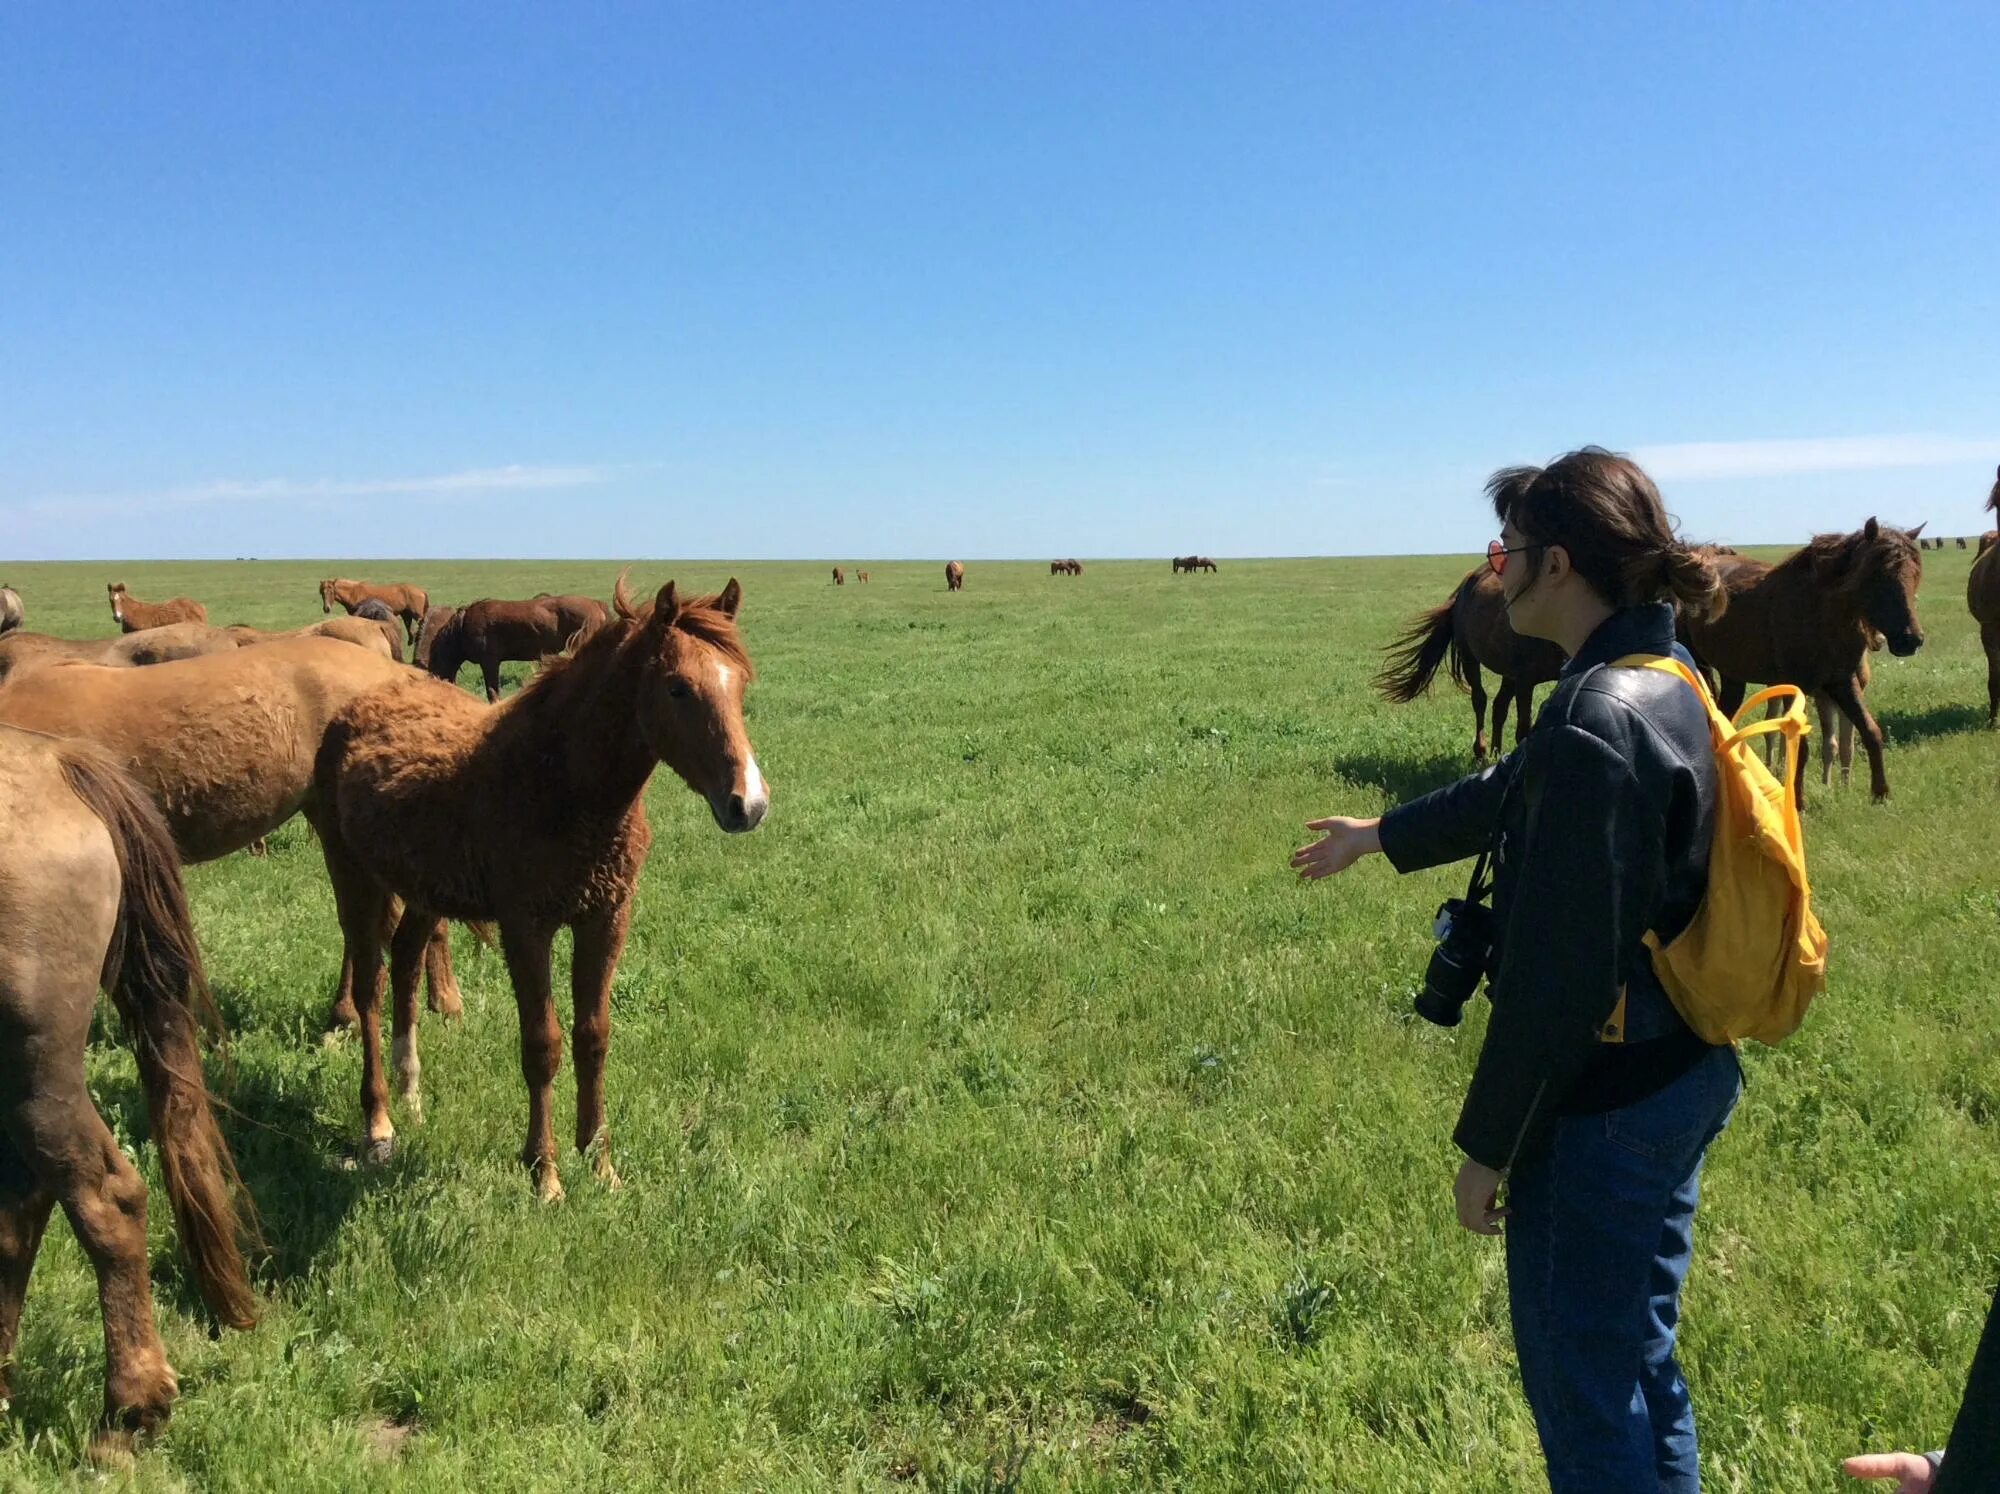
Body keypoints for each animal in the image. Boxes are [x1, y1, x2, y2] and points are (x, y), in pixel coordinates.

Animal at [316, 580, 768, 1200]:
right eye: (677, 688)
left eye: (740, 683)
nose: (749, 804)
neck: (560, 785)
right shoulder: (526, 927)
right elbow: (542, 1044)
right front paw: (545, 1174)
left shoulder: (606, 916)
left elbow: (593, 1036)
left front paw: (600, 1163)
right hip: (355, 877)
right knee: (369, 989)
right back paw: (379, 1122)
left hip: (424, 891)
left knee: (406, 961)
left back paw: (412, 1095)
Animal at [1384, 568, 1568, 764]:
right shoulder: (1525, 681)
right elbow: (1524, 731)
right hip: (1469, 658)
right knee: (1480, 699)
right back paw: (1481, 751)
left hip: (1508, 673)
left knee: (1499, 705)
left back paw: (1496, 752)